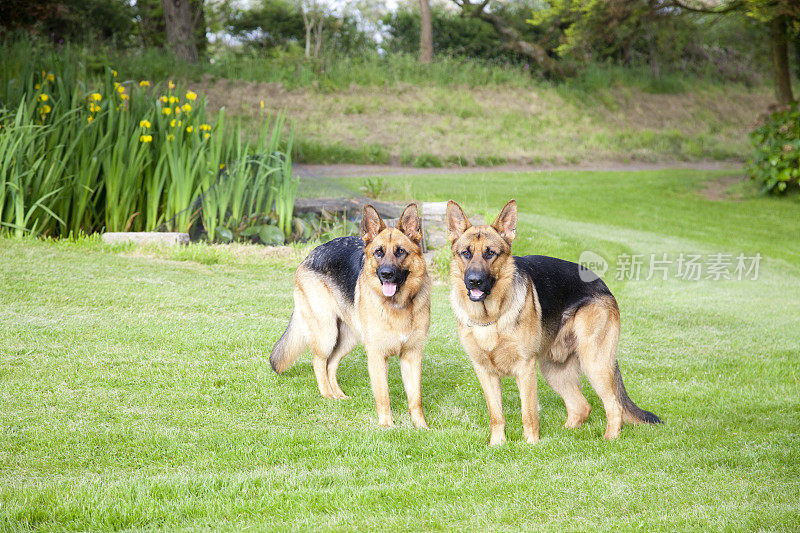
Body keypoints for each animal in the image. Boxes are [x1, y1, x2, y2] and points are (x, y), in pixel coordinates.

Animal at [268, 204, 432, 428]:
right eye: (379, 252)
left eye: (400, 252)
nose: (386, 274)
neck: (397, 305)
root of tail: (312, 253)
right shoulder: (377, 356)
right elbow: (383, 395)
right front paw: (387, 426)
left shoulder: (412, 356)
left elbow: (416, 398)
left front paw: (421, 427)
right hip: (327, 333)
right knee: (319, 362)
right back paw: (327, 395)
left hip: (347, 338)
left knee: (331, 364)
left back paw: (338, 395)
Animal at [446, 200, 660, 444]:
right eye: (466, 253)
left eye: (491, 253)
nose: (475, 281)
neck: (491, 318)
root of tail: (602, 284)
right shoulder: (484, 372)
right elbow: (496, 415)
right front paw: (497, 445)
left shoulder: (525, 368)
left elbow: (528, 413)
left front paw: (530, 445)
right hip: (553, 369)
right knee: (581, 407)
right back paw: (565, 436)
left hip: (594, 362)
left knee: (614, 406)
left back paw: (609, 440)